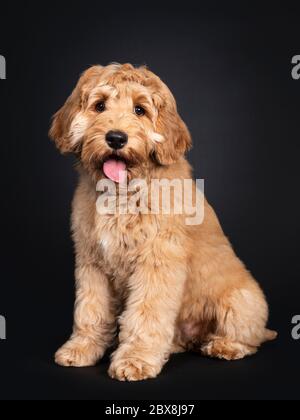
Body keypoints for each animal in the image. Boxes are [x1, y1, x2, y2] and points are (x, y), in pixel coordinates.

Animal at [49, 62, 276, 380]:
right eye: (100, 105)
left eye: (140, 110)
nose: (116, 138)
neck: (123, 193)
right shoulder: (91, 262)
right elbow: (90, 310)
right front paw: (82, 348)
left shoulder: (156, 262)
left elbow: (146, 313)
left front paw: (135, 359)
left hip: (242, 300)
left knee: (248, 337)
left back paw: (224, 346)